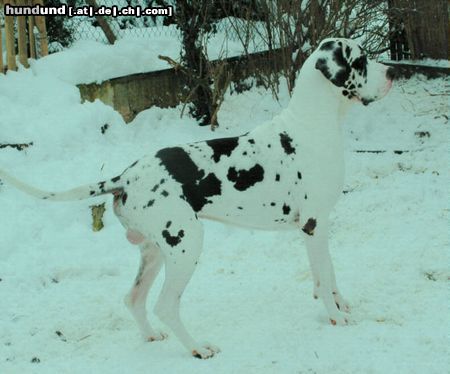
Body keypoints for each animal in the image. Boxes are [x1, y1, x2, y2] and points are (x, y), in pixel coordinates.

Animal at [0, 38, 394, 360]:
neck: (310, 124)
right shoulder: (313, 225)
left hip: (155, 251)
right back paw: (197, 348)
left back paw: (152, 337)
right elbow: (324, 278)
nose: (393, 71)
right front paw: (335, 316)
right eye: (361, 61)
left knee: (134, 298)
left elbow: (328, 272)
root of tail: (125, 176)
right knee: (165, 305)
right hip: (186, 246)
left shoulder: (320, 225)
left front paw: (339, 303)